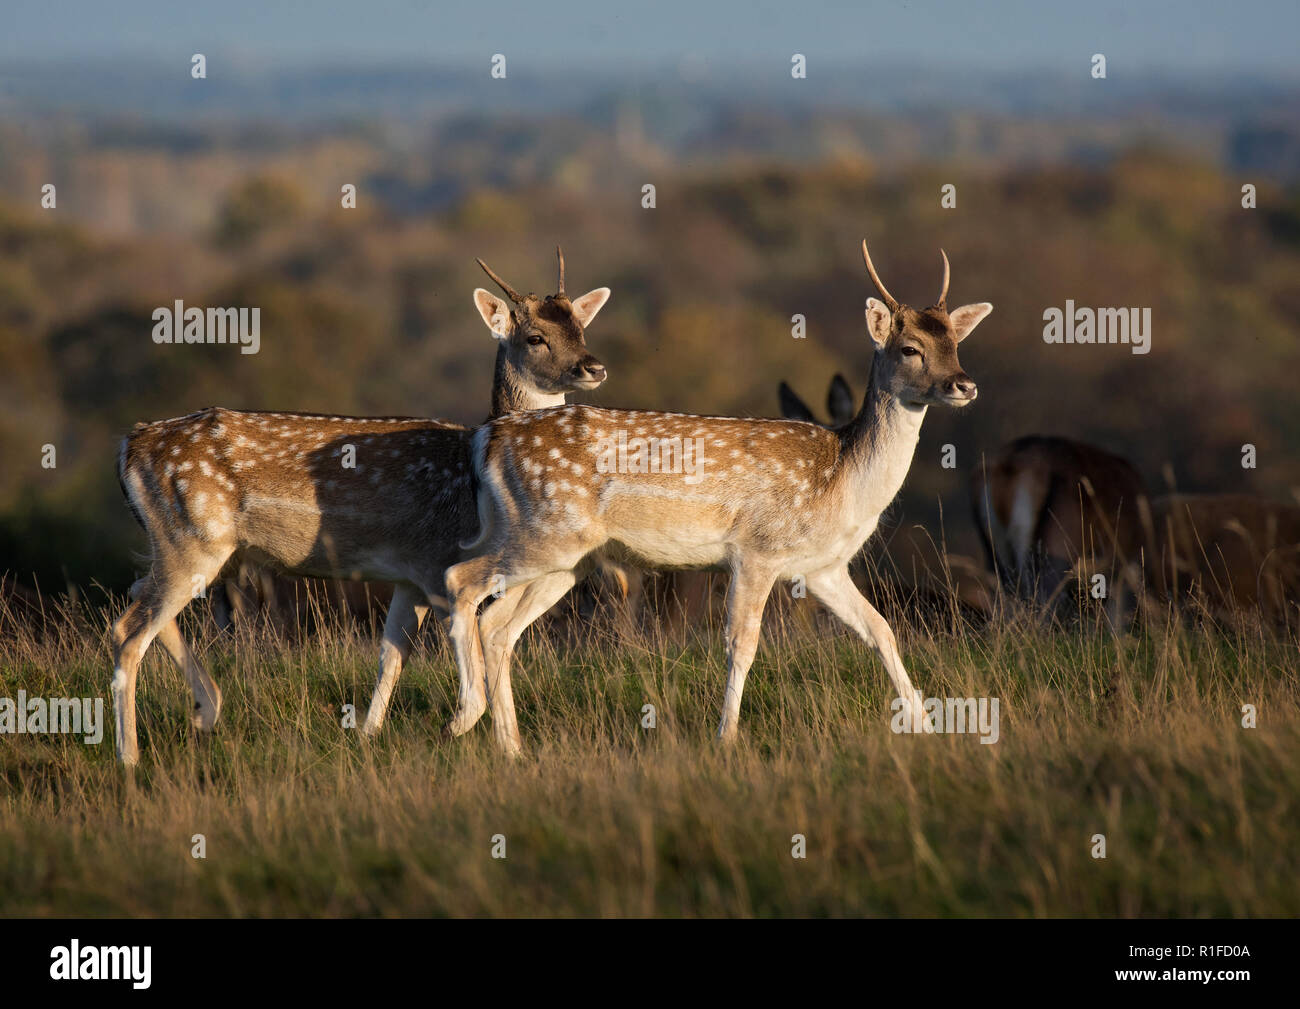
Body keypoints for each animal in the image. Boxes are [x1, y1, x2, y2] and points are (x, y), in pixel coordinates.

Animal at [113, 245, 613, 764]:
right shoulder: (437, 563)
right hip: (192, 540)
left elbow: (391, 655)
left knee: (137, 593)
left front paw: (366, 737)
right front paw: (488, 741)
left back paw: (205, 710)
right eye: (535, 337)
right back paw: (130, 757)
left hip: (199, 548)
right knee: (127, 630)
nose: (593, 367)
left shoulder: (409, 576)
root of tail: (129, 446)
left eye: (581, 328)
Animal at [441, 240, 987, 754]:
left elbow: (881, 630)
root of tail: (488, 437)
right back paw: (464, 717)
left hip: (565, 559)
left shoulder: (823, 567)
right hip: (547, 534)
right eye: (910, 348)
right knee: (460, 580)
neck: (842, 480)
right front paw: (726, 737)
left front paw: (927, 727)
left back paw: (511, 747)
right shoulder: (757, 550)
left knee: (498, 623)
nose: (964, 383)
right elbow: (741, 644)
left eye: (956, 342)